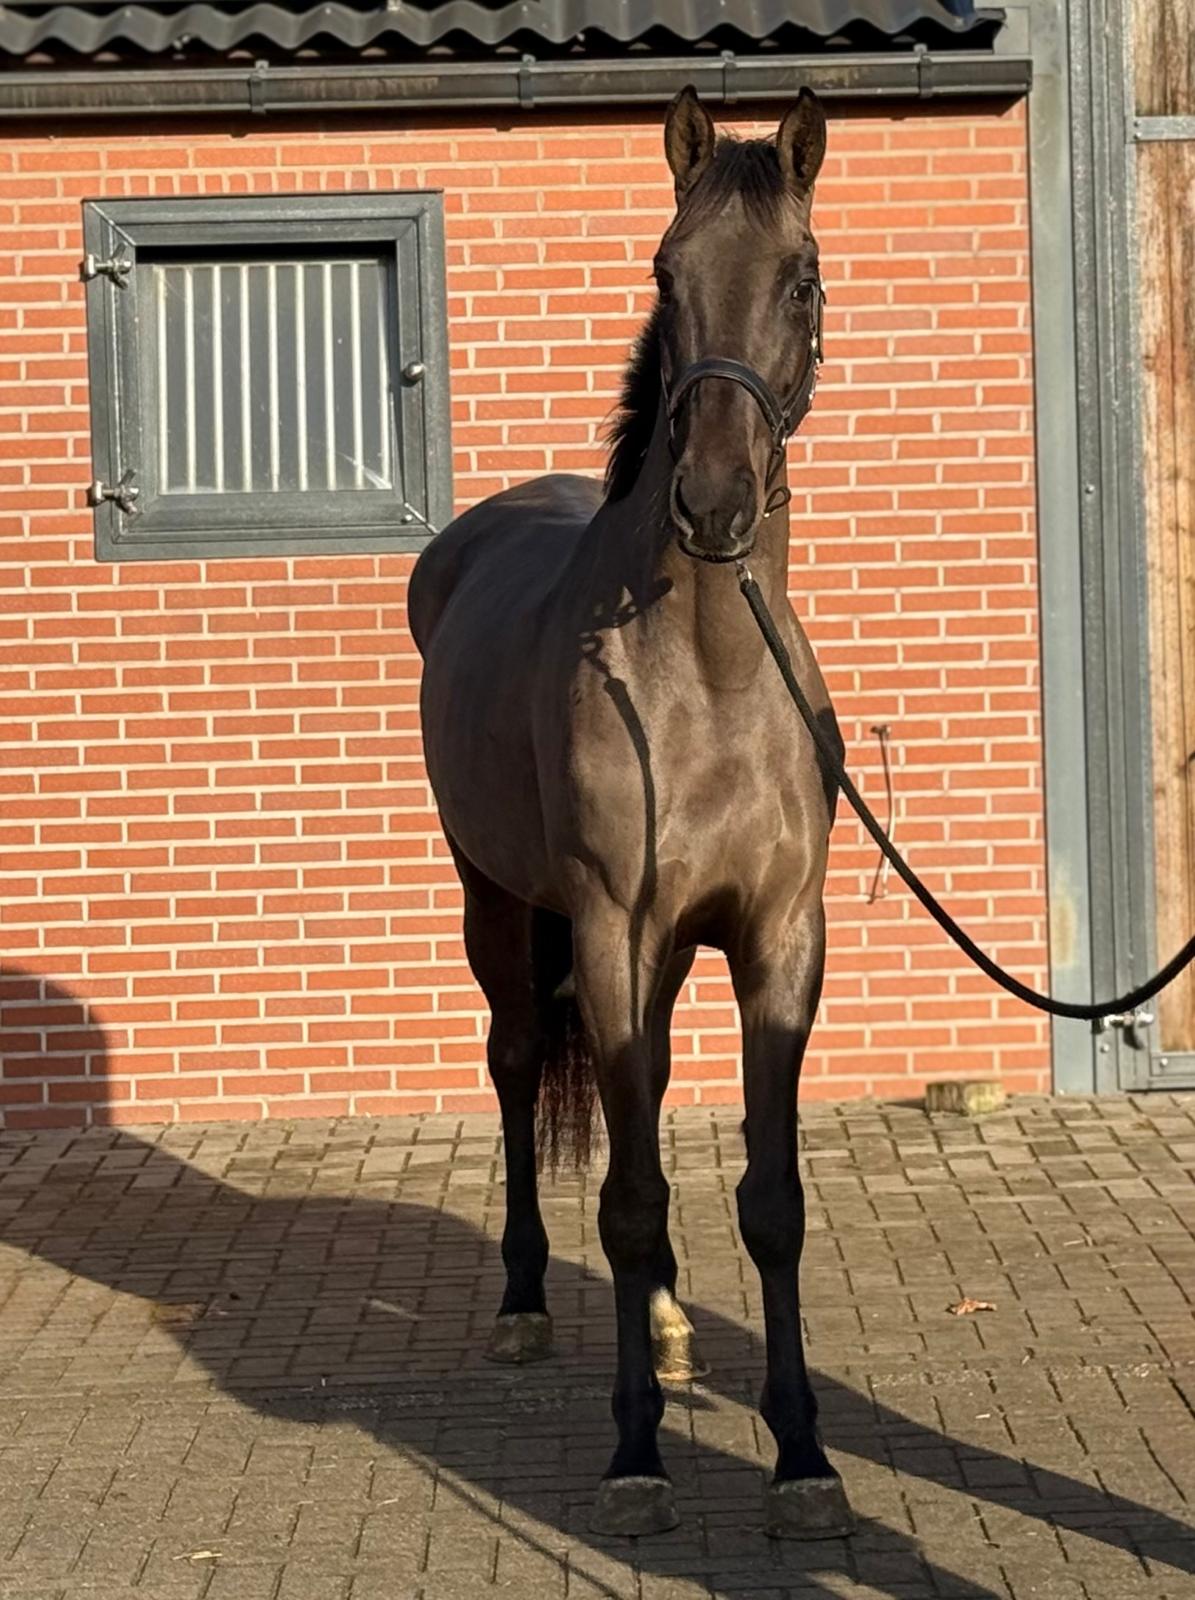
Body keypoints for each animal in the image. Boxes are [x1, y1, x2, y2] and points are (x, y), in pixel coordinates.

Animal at [409, 85, 848, 1541]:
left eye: (799, 275)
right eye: (664, 272)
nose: (709, 499)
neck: (703, 671)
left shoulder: (777, 942)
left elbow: (765, 1199)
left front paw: (802, 1458)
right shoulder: (605, 929)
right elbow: (633, 1196)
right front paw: (636, 1454)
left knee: (637, 1096)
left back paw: (657, 1329)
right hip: (502, 909)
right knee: (512, 1069)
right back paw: (524, 1307)